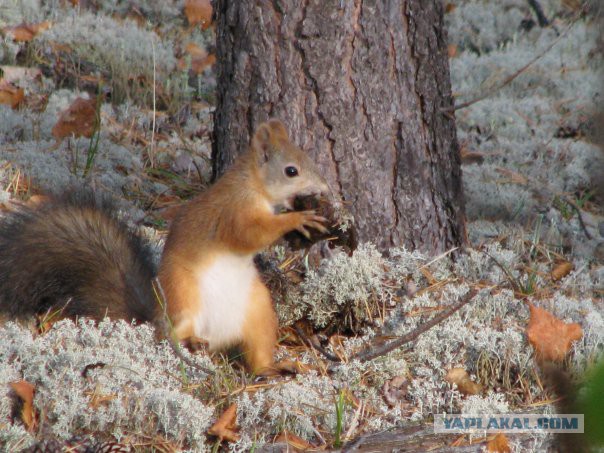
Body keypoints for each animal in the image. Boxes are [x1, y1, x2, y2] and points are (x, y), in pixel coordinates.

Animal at [1, 119, 330, 374]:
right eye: (291, 171)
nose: (325, 188)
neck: (253, 184)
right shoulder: (233, 211)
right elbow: (249, 234)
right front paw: (298, 218)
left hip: (259, 310)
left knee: (258, 354)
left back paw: (274, 368)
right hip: (184, 294)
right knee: (168, 333)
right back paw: (184, 339)